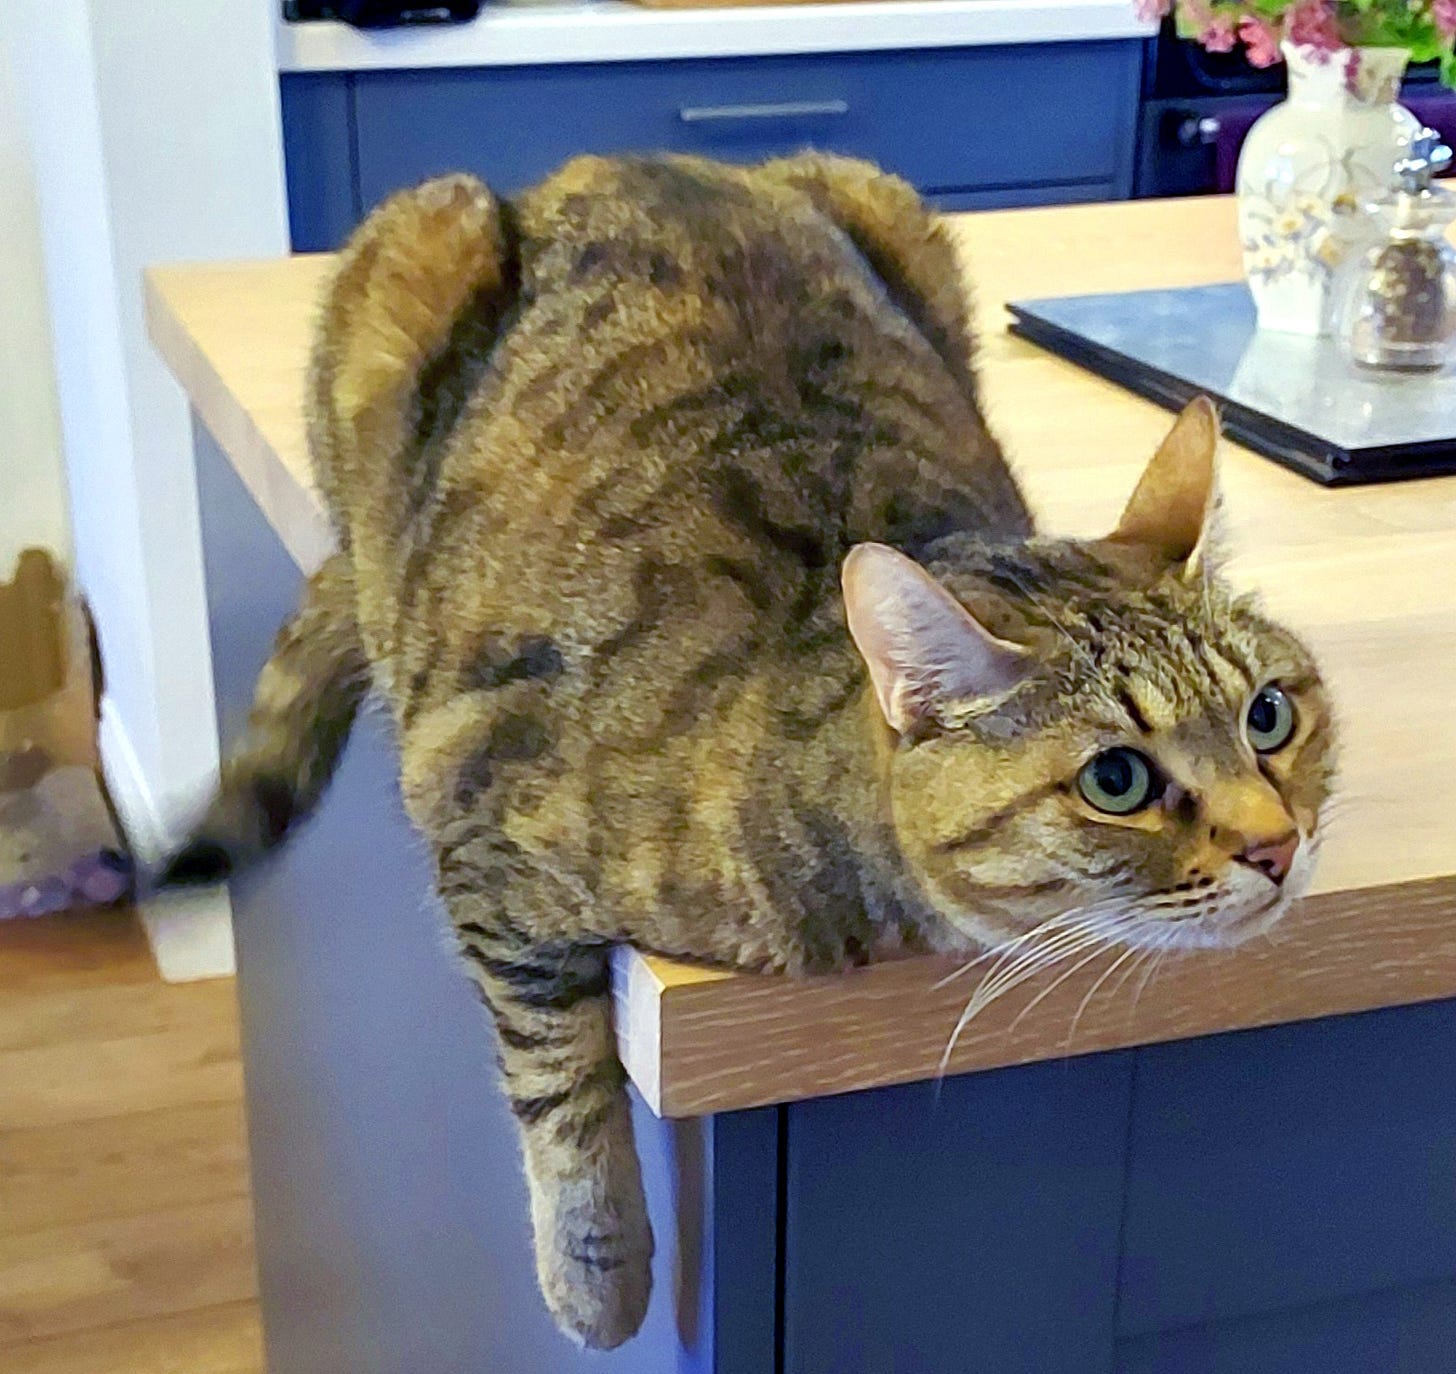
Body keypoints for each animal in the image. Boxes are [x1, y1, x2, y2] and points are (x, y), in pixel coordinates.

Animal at [165, 149, 1333, 1339]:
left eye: (1268, 717)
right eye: (1117, 779)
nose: (1276, 845)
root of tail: (623, 161)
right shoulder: (482, 827)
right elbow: (556, 1068)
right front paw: (595, 1268)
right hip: (419, 250)